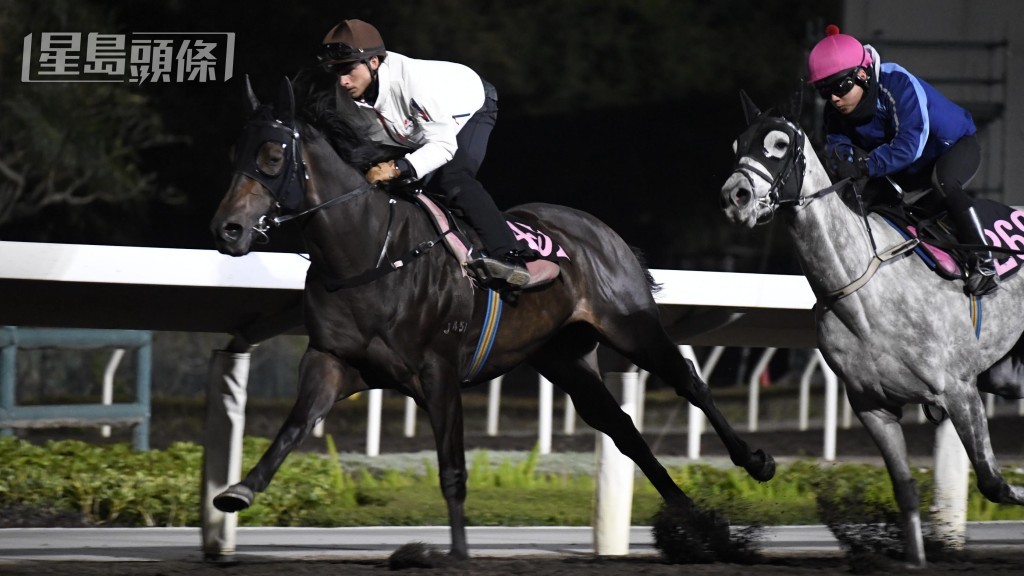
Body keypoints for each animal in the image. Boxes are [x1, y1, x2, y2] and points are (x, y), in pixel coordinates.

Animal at [207, 78, 774, 557]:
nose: (227, 230)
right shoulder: (333, 361)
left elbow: (452, 469)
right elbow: (294, 427)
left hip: (632, 329)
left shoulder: (438, 371)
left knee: (689, 382)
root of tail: (603, 231)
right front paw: (239, 490)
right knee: (622, 428)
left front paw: (458, 554)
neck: (368, 254)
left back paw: (754, 463)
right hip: (564, 358)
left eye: (272, 155)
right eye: (234, 153)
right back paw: (695, 524)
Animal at [716, 91, 1024, 561]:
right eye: (737, 145)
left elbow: (993, 482)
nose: (736, 195)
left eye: (779, 144)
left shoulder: (958, 390)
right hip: (1008, 373)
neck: (862, 291)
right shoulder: (873, 406)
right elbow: (906, 491)